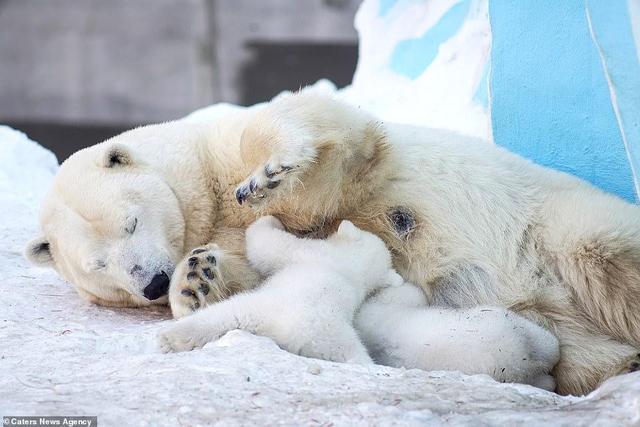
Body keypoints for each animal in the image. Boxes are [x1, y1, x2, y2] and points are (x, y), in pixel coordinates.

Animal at [25, 92, 640, 396]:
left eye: (129, 222)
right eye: (99, 266)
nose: (152, 282)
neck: (204, 189)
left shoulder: (230, 148)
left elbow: (320, 140)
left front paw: (271, 175)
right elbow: (257, 266)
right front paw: (198, 279)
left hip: (555, 226)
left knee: (606, 254)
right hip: (571, 336)